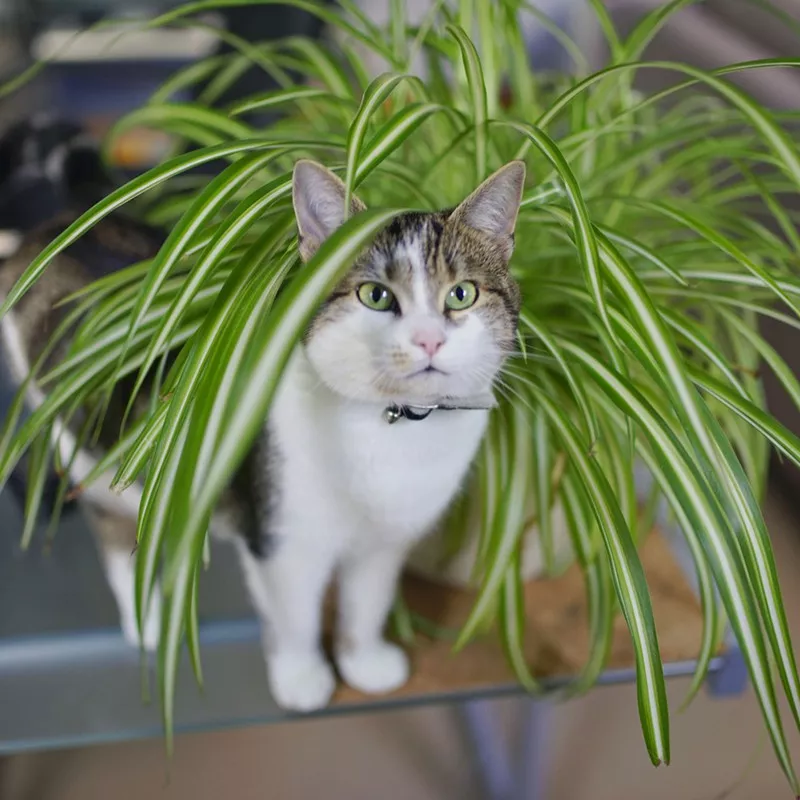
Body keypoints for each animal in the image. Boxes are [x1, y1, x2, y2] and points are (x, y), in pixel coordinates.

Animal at [0, 152, 528, 712]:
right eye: (376, 295)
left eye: (462, 294)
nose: (428, 340)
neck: (394, 429)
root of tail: (42, 234)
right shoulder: (283, 540)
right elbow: (296, 616)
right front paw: (302, 678)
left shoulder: (384, 544)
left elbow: (367, 603)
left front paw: (363, 662)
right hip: (87, 455)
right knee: (115, 532)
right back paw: (148, 622)